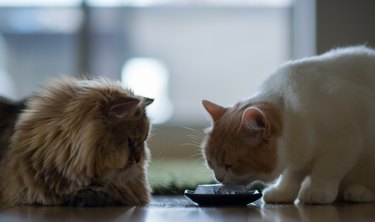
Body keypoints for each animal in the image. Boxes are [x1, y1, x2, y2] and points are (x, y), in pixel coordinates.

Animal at [203, 46, 375, 204]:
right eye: (210, 162)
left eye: (229, 165)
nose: (218, 178)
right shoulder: (296, 154)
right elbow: (291, 175)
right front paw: (283, 191)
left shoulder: (343, 142)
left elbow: (326, 170)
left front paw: (317, 189)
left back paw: (359, 191)